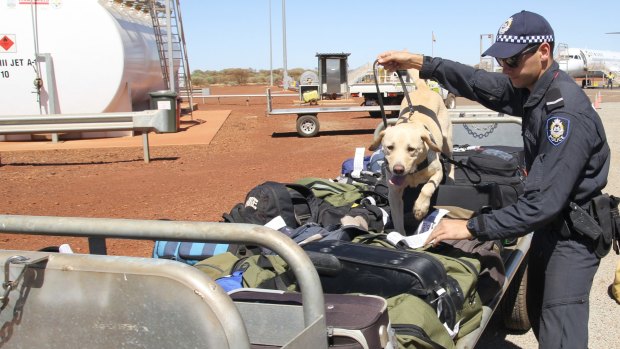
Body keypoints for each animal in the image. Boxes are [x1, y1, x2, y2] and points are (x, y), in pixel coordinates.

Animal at [370, 77, 452, 232]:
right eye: (390, 147)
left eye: (411, 149)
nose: (398, 169)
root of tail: (423, 88)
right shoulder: (394, 193)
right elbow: (397, 221)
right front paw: (400, 236)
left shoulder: (437, 172)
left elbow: (427, 188)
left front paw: (420, 208)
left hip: (447, 141)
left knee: (451, 164)